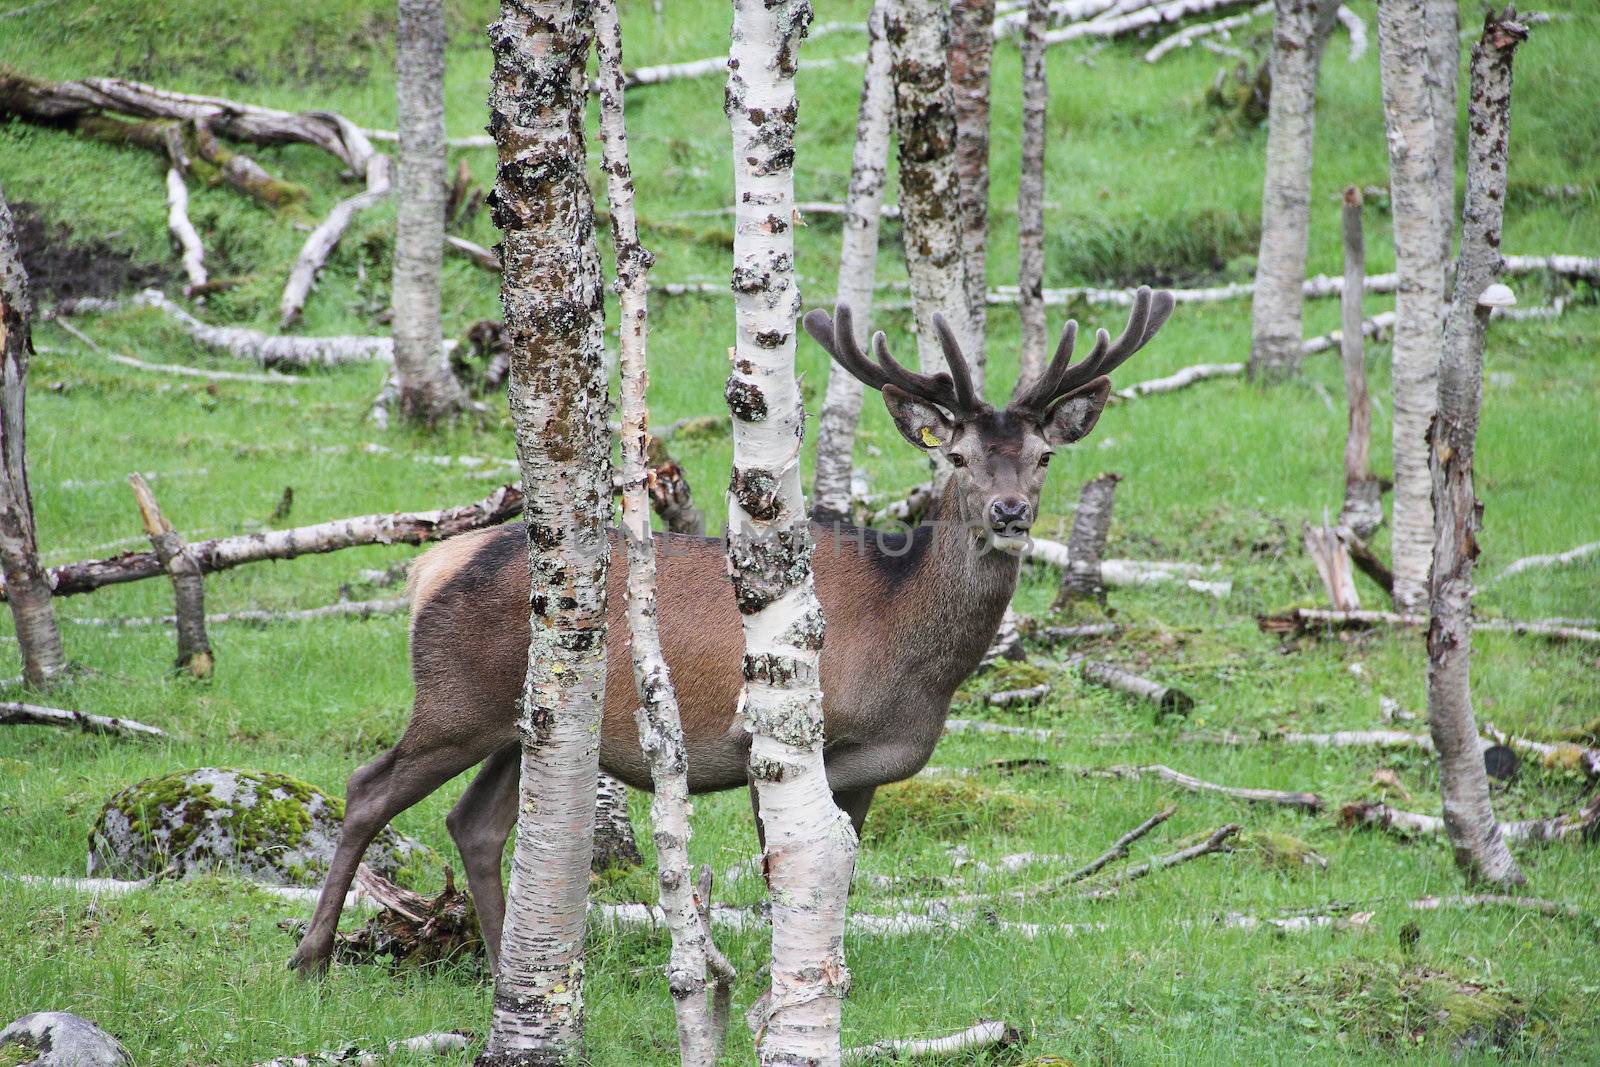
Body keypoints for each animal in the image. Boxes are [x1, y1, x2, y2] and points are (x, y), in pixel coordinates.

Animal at [291, 283, 1177, 979]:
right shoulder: (776, 736)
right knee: (368, 788)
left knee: (474, 823)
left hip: (522, 721)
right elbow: (784, 869)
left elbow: (838, 868)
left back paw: (514, 965)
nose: (1010, 511)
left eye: (1043, 457)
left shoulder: (868, 767)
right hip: (454, 697)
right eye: (954, 456)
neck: (911, 659)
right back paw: (311, 955)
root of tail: (429, 566)